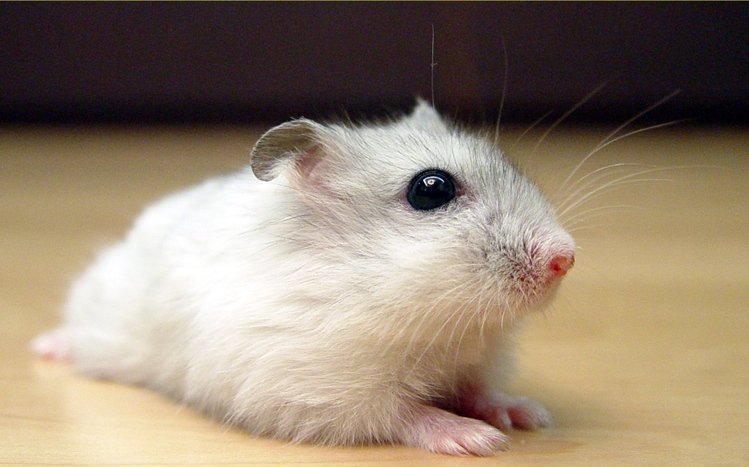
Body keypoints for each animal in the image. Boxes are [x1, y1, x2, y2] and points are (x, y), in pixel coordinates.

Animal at [32, 100, 575, 456]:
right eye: (431, 189)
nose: (566, 258)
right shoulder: (318, 390)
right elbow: (404, 413)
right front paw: (479, 439)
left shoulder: (476, 359)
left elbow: (479, 390)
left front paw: (527, 415)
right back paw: (46, 347)